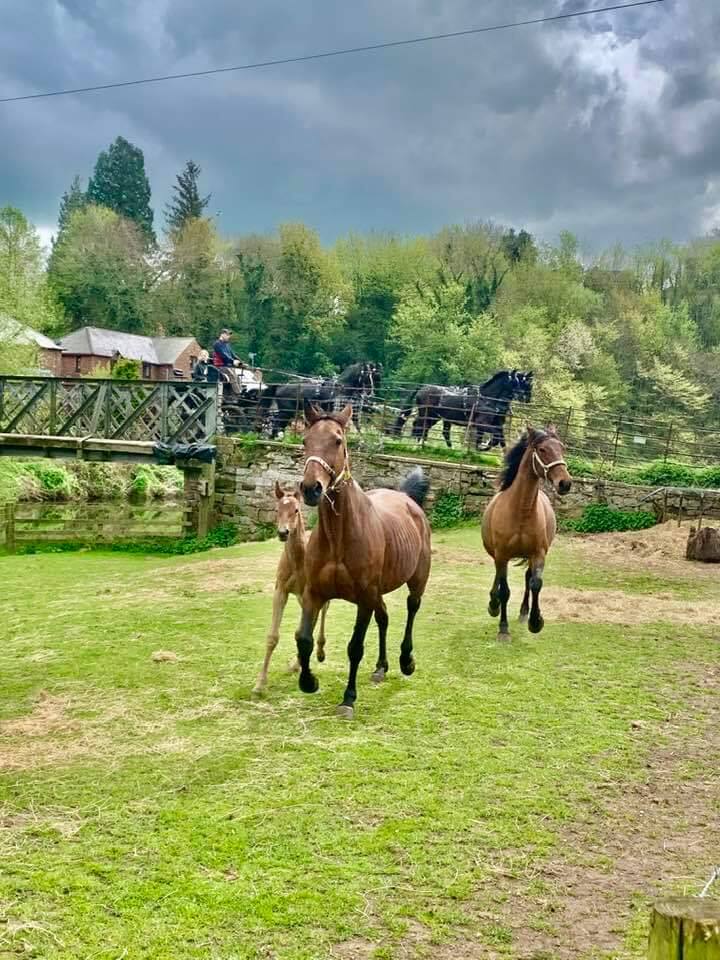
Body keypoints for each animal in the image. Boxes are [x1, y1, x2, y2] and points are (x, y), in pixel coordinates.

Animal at [252, 481, 329, 696]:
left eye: (296, 509)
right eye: (277, 509)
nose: (283, 533)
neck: (297, 561)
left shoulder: (310, 594)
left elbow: (303, 632)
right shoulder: (281, 590)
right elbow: (273, 636)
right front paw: (260, 683)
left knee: (323, 613)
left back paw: (319, 651)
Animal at [295, 403, 432, 719]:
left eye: (338, 441)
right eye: (305, 440)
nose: (311, 489)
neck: (339, 536)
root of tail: (408, 499)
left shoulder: (364, 598)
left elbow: (355, 647)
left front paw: (348, 698)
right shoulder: (314, 593)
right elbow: (304, 639)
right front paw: (309, 682)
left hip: (415, 582)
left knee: (411, 610)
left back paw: (406, 661)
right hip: (377, 593)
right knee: (384, 618)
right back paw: (381, 668)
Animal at [392, 370, 533, 450]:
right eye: (514, 381)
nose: (526, 398)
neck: (486, 398)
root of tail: (422, 388)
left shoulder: (494, 424)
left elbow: (499, 439)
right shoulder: (482, 424)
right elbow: (495, 438)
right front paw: (483, 447)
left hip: (436, 416)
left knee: (429, 428)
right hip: (427, 413)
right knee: (419, 425)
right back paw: (417, 443)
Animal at [481, 424, 572, 642]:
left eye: (562, 448)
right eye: (542, 450)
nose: (565, 483)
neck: (521, 510)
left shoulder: (538, 553)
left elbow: (536, 583)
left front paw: (535, 622)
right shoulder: (502, 554)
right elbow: (504, 590)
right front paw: (503, 629)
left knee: (528, 578)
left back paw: (523, 612)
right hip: (498, 556)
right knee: (498, 577)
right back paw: (493, 605)